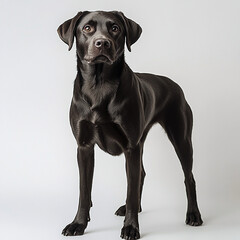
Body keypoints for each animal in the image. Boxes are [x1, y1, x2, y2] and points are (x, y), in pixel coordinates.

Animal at [57, 10, 202, 238]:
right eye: (87, 28)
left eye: (115, 28)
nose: (102, 43)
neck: (99, 85)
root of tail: (174, 85)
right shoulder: (84, 146)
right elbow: (84, 190)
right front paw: (78, 223)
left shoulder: (130, 146)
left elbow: (131, 190)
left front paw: (131, 227)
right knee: (141, 174)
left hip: (181, 138)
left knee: (189, 178)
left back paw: (193, 214)